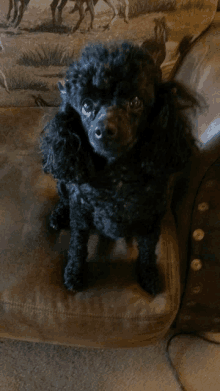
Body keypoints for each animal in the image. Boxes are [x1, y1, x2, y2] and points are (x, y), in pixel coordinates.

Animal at [40, 40, 199, 298]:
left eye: (135, 101)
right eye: (86, 105)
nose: (104, 130)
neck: (117, 178)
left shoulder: (151, 218)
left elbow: (147, 251)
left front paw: (149, 276)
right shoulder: (81, 212)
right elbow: (77, 246)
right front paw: (74, 273)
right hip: (66, 184)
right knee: (64, 198)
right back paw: (58, 215)